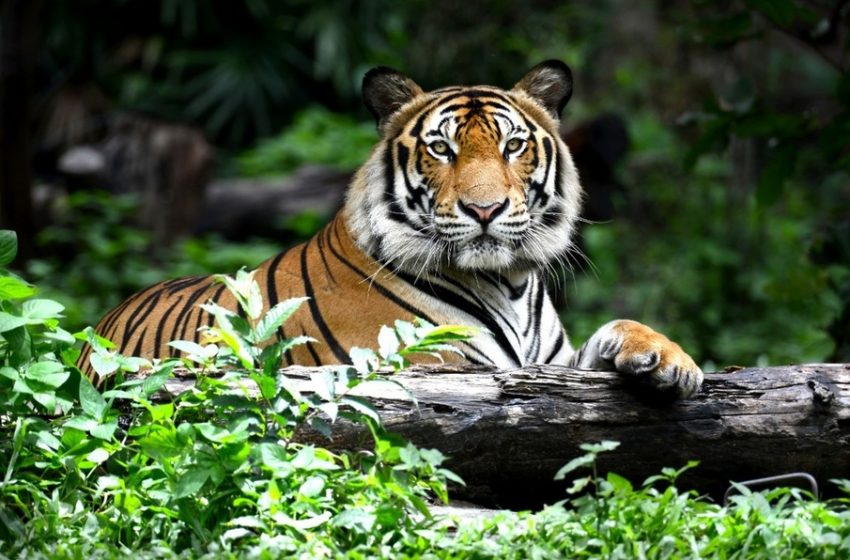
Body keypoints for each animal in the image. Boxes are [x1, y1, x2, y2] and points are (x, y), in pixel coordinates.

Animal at [79, 60, 703, 398]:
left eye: (512, 146)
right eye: (442, 149)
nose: (485, 209)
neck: (509, 282)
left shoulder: (552, 366)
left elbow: (617, 328)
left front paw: (670, 361)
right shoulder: (436, 368)